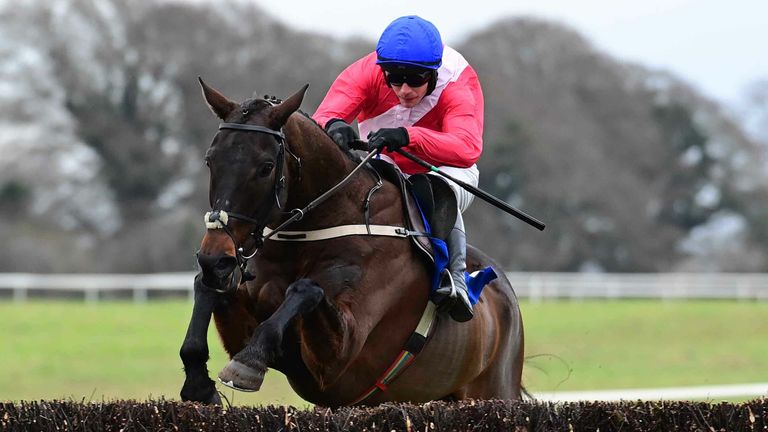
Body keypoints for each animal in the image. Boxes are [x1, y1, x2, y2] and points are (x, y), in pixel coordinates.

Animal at [178, 79, 528, 406]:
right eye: (210, 160)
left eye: (265, 167)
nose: (215, 257)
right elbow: (204, 289)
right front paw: (198, 383)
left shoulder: (339, 357)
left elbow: (306, 289)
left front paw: (249, 363)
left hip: (495, 390)